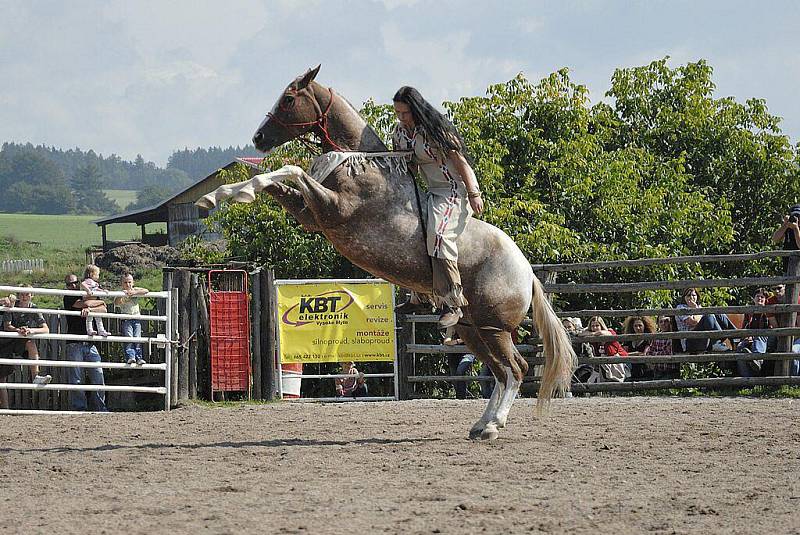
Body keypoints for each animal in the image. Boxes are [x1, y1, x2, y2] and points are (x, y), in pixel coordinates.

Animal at [198, 66, 576, 440]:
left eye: (289, 98)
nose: (259, 137)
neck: (362, 166)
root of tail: (527, 273)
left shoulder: (331, 209)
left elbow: (292, 170)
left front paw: (220, 195)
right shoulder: (310, 216)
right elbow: (276, 179)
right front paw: (218, 195)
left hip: (493, 329)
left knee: (516, 369)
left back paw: (494, 426)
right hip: (473, 329)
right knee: (500, 371)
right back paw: (482, 423)